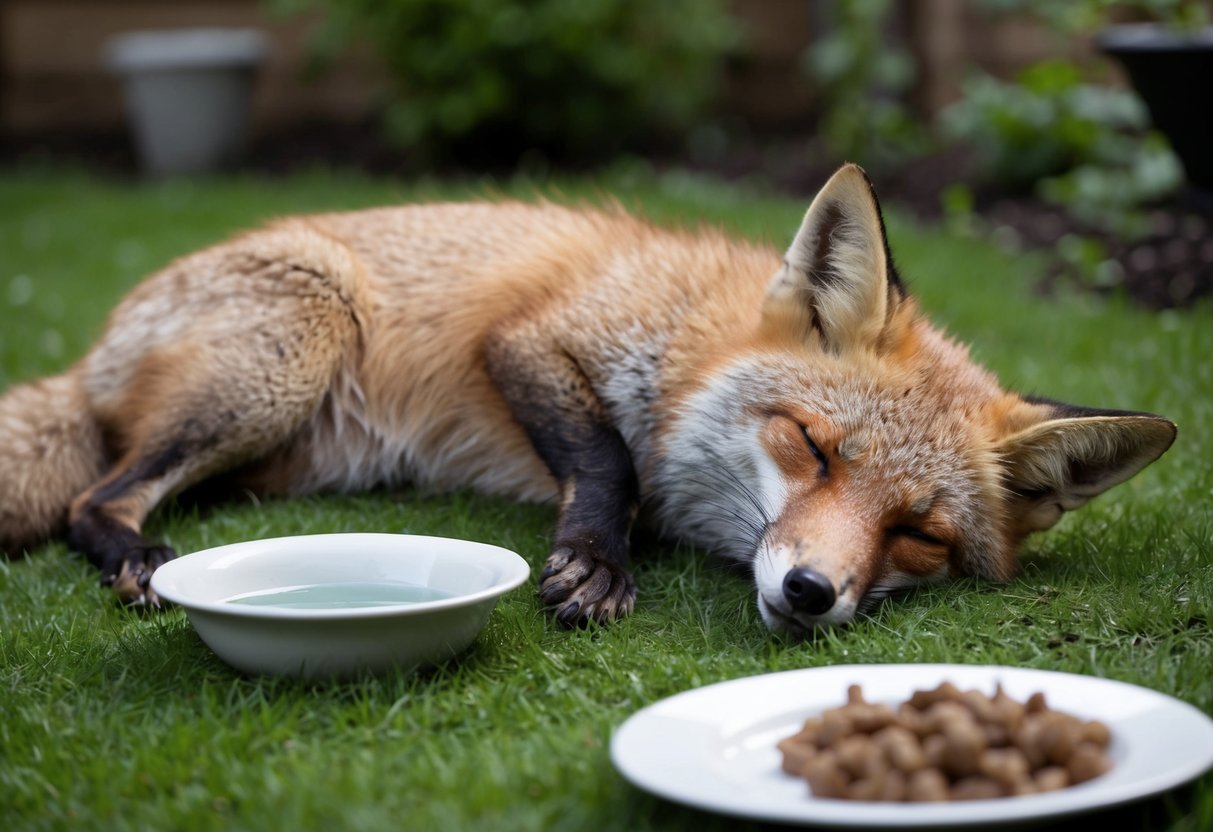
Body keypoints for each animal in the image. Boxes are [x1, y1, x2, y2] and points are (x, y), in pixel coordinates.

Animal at [0, 164, 1176, 634]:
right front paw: (598, 560)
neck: (693, 336)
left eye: (921, 534)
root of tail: (94, 350)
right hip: (294, 347)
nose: (808, 593)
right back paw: (137, 557)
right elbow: (607, 458)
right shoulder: (527, 340)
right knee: (93, 498)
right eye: (811, 446)